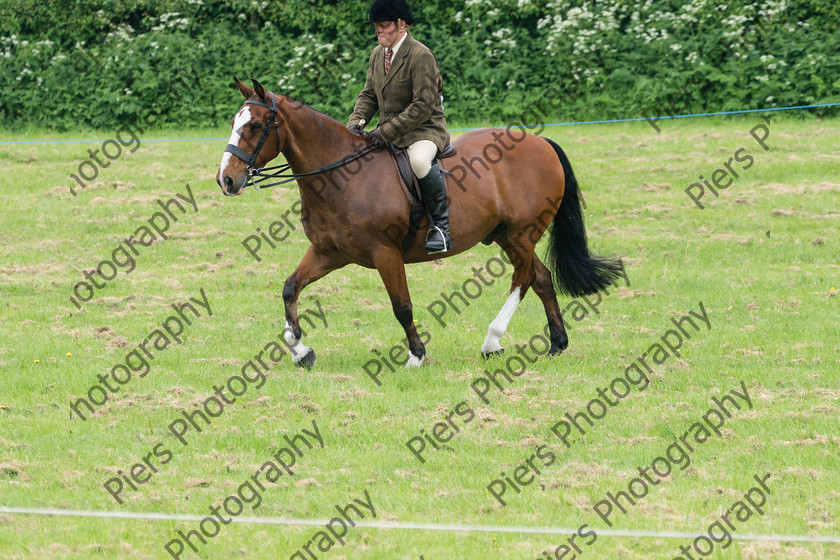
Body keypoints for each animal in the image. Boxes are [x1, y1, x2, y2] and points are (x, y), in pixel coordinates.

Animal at [217, 79, 624, 368]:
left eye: (255, 125)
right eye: (235, 122)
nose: (227, 180)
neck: (341, 176)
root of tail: (540, 142)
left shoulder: (385, 253)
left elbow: (402, 306)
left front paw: (416, 355)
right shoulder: (329, 253)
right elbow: (290, 289)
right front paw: (301, 350)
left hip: (522, 234)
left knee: (523, 277)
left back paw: (492, 340)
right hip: (508, 237)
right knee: (540, 278)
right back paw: (556, 343)